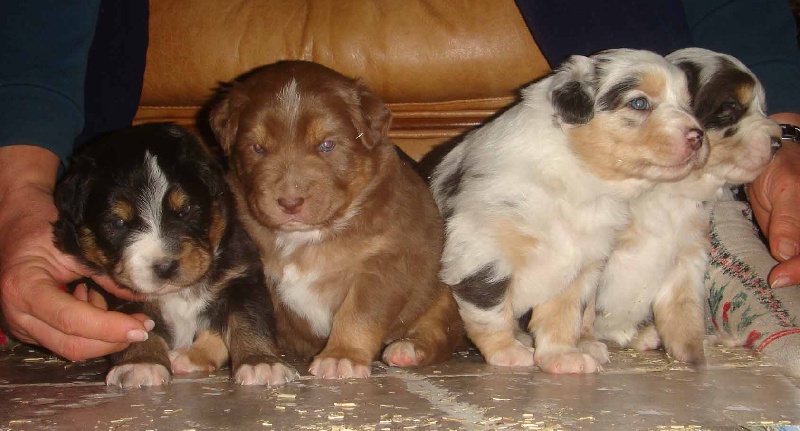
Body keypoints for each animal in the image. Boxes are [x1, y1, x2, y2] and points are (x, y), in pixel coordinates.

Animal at [52, 123, 296, 390]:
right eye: (118, 223)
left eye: (186, 210)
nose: (166, 266)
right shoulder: (116, 295)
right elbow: (139, 330)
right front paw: (141, 364)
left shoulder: (240, 276)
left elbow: (249, 321)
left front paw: (261, 363)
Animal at [209, 60, 460, 378]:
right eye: (258, 148)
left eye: (327, 145)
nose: (290, 202)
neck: (304, 237)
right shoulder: (245, 267)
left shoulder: (384, 264)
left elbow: (358, 314)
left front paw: (342, 357)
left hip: (441, 295)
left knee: (439, 332)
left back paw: (408, 349)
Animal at [432, 48, 708, 374]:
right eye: (639, 103)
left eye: (687, 104)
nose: (699, 136)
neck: (580, 181)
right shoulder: (481, 252)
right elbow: (490, 310)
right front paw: (507, 353)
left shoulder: (579, 267)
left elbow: (561, 317)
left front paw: (562, 358)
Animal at [592, 47, 780, 364]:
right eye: (730, 106)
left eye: (763, 108)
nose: (779, 141)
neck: (672, 193)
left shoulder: (686, 258)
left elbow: (683, 312)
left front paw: (693, 356)